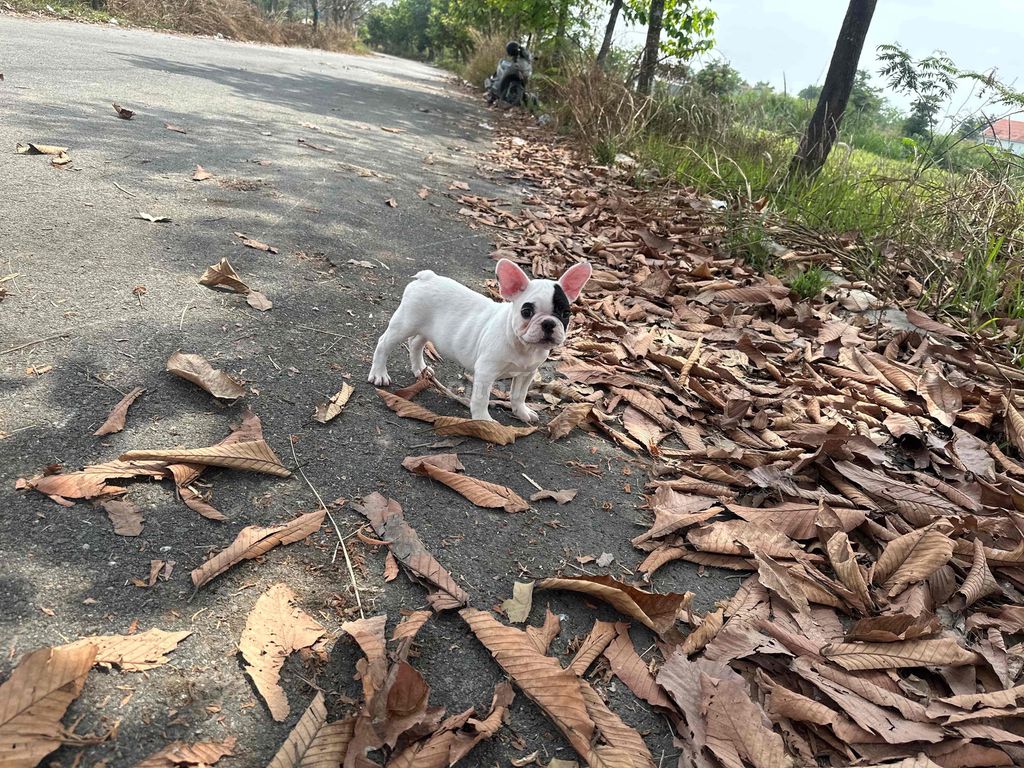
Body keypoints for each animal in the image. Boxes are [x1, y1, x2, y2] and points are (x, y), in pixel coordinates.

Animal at [368, 262, 593, 423]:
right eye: (527, 311)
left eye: (565, 314)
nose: (548, 323)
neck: (524, 346)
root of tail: (427, 277)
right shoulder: (486, 372)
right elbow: (481, 398)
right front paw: (483, 419)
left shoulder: (527, 373)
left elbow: (519, 395)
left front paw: (522, 412)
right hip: (405, 324)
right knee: (384, 344)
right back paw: (379, 373)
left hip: (427, 329)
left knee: (416, 343)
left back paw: (420, 369)